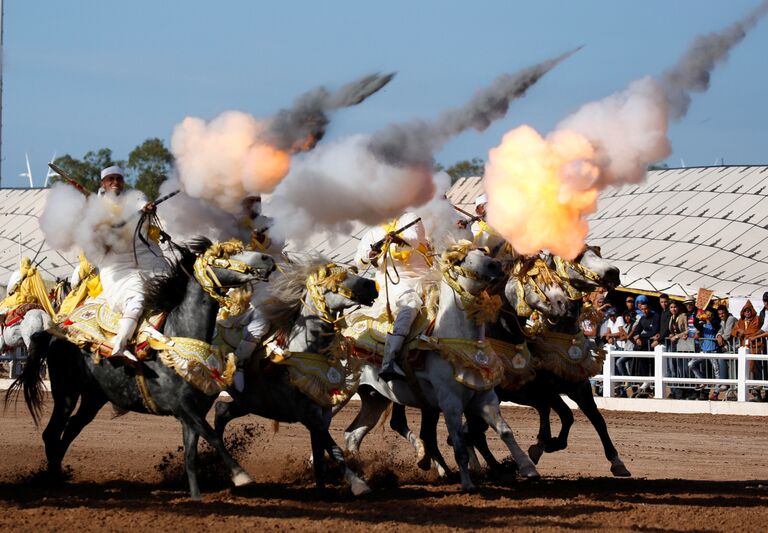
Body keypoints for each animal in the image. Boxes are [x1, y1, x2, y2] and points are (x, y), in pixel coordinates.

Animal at [6, 238, 276, 498]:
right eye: (223, 254)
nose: (268, 259)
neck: (178, 334)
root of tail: (55, 333)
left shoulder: (193, 411)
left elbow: (191, 455)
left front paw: (197, 497)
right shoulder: (182, 407)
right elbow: (212, 437)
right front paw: (241, 476)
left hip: (94, 398)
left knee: (70, 429)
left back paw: (59, 476)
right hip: (66, 393)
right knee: (52, 433)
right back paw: (52, 481)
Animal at [214, 260, 376, 496]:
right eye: (332, 277)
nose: (371, 285)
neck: (303, 349)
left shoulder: (322, 413)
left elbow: (320, 454)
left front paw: (322, 491)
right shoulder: (308, 415)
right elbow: (333, 448)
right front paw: (359, 485)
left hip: (251, 402)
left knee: (221, 411)